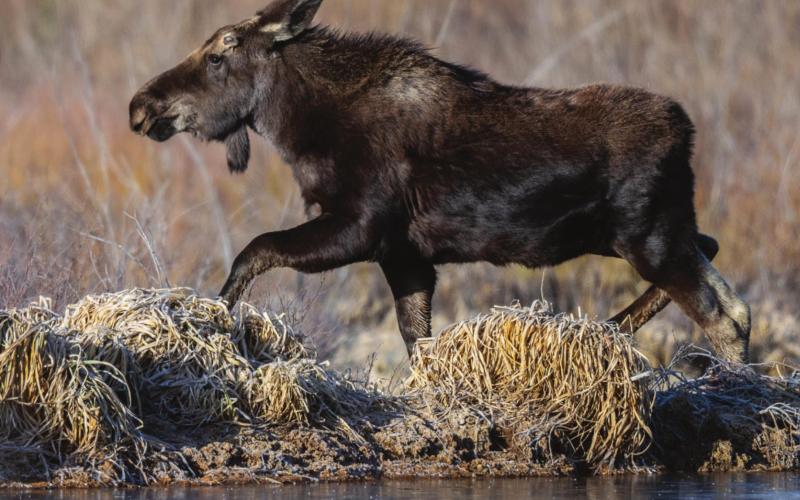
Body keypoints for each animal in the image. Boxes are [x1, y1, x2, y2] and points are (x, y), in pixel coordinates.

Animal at [129, 0, 751, 363]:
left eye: (219, 55)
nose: (141, 105)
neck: (299, 128)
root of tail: (687, 130)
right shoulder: (406, 254)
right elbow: (417, 343)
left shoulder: (360, 227)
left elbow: (251, 252)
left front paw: (211, 318)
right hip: (643, 233)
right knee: (726, 280)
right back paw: (614, 330)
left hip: (646, 236)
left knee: (720, 313)